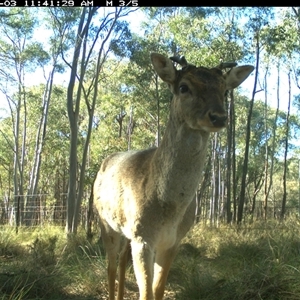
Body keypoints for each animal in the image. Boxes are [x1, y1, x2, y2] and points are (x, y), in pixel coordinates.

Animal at [94, 52, 253, 298]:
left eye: (225, 90)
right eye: (183, 87)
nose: (218, 117)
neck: (168, 210)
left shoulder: (173, 241)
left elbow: (158, 290)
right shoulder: (142, 237)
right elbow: (146, 293)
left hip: (126, 231)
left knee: (120, 262)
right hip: (105, 222)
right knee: (110, 266)